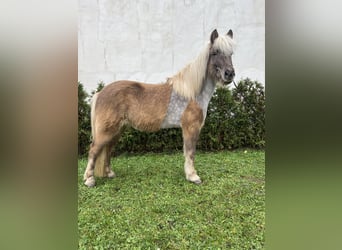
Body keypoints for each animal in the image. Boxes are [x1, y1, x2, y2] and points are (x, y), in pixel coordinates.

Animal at [84, 28, 236, 187]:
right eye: (215, 52)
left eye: (231, 53)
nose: (229, 74)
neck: (192, 92)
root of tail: (100, 93)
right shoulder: (190, 128)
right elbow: (190, 152)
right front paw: (193, 176)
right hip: (106, 131)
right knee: (93, 150)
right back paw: (89, 179)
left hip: (117, 130)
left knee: (107, 149)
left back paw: (109, 173)